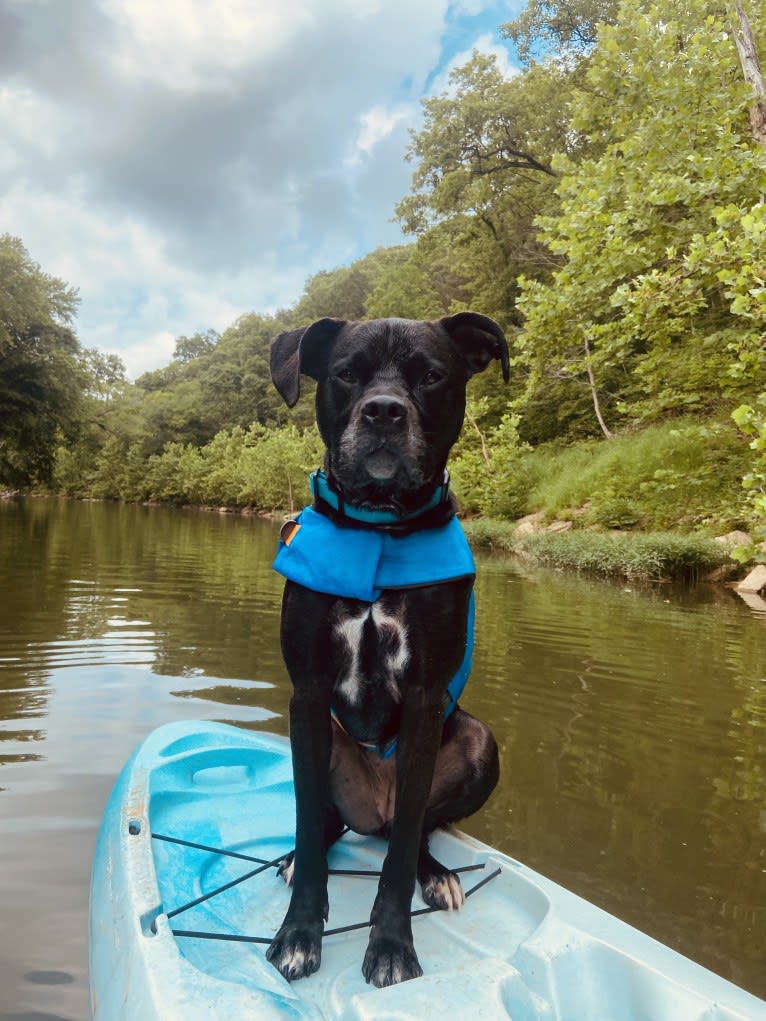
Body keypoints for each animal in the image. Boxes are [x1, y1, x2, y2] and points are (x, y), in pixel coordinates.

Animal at [267, 312, 506, 988]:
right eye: (347, 373)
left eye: (431, 376)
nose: (383, 412)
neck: (378, 528)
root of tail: (372, 809)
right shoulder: (307, 697)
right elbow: (307, 827)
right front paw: (299, 933)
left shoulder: (425, 700)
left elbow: (398, 860)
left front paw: (393, 944)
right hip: (320, 737)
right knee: (325, 821)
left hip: (475, 743)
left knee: (412, 827)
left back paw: (437, 873)